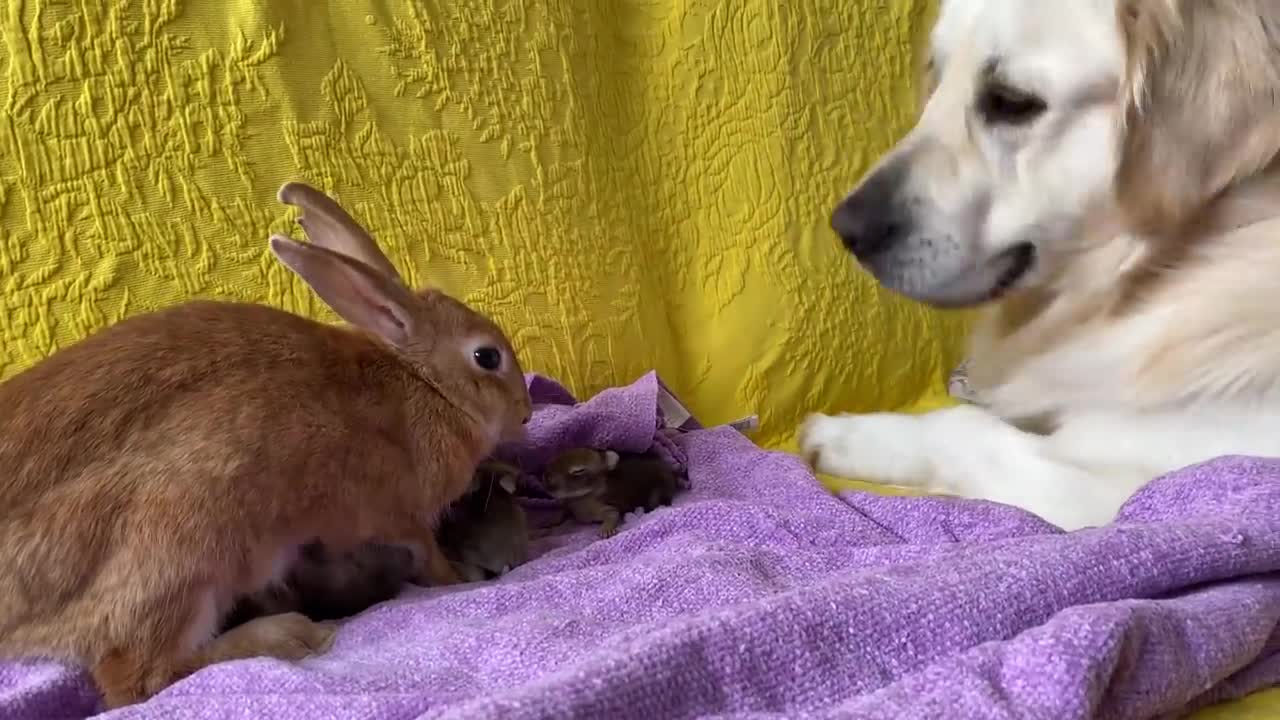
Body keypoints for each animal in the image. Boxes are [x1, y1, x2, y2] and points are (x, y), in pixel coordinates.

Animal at [0, 179, 532, 707]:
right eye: (487, 358)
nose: (526, 413)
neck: (426, 385)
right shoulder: (398, 513)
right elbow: (428, 554)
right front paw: (457, 578)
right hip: (183, 551)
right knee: (136, 677)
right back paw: (291, 635)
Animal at [798, 0, 1280, 527]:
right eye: (938, 78)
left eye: (1011, 101)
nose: (846, 229)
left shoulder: (1135, 489)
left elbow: (968, 428)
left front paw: (850, 436)